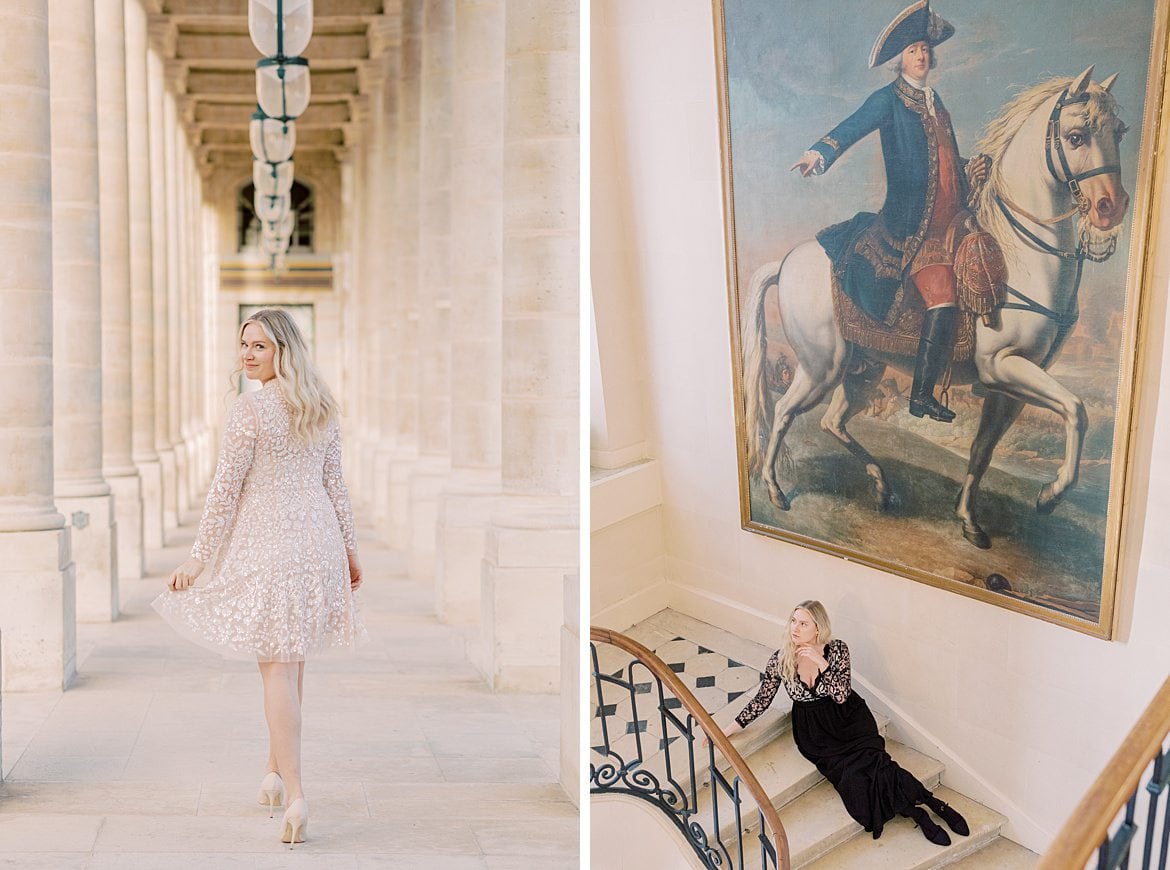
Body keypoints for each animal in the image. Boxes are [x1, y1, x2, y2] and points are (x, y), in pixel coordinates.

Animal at [744, 69, 1127, 549]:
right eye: (1076, 137)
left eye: (1119, 131)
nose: (1112, 207)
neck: (1020, 258)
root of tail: (787, 261)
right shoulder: (1002, 367)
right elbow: (1077, 409)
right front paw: (1051, 495)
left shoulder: (1009, 388)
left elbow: (983, 451)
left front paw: (968, 519)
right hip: (820, 368)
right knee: (783, 413)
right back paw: (775, 490)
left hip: (864, 370)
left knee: (832, 421)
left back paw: (882, 487)